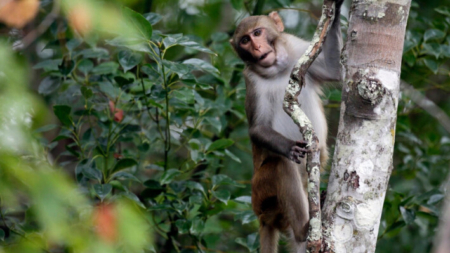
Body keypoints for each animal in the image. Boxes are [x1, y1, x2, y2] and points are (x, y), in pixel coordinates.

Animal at [230, 1, 342, 253]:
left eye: (257, 33)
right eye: (245, 40)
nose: (256, 47)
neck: (277, 69)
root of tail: (262, 217)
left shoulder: (297, 49)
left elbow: (333, 69)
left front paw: (338, 9)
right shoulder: (251, 80)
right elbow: (258, 128)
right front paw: (290, 147)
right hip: (262, 193)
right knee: (281, 165)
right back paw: (303, 229)